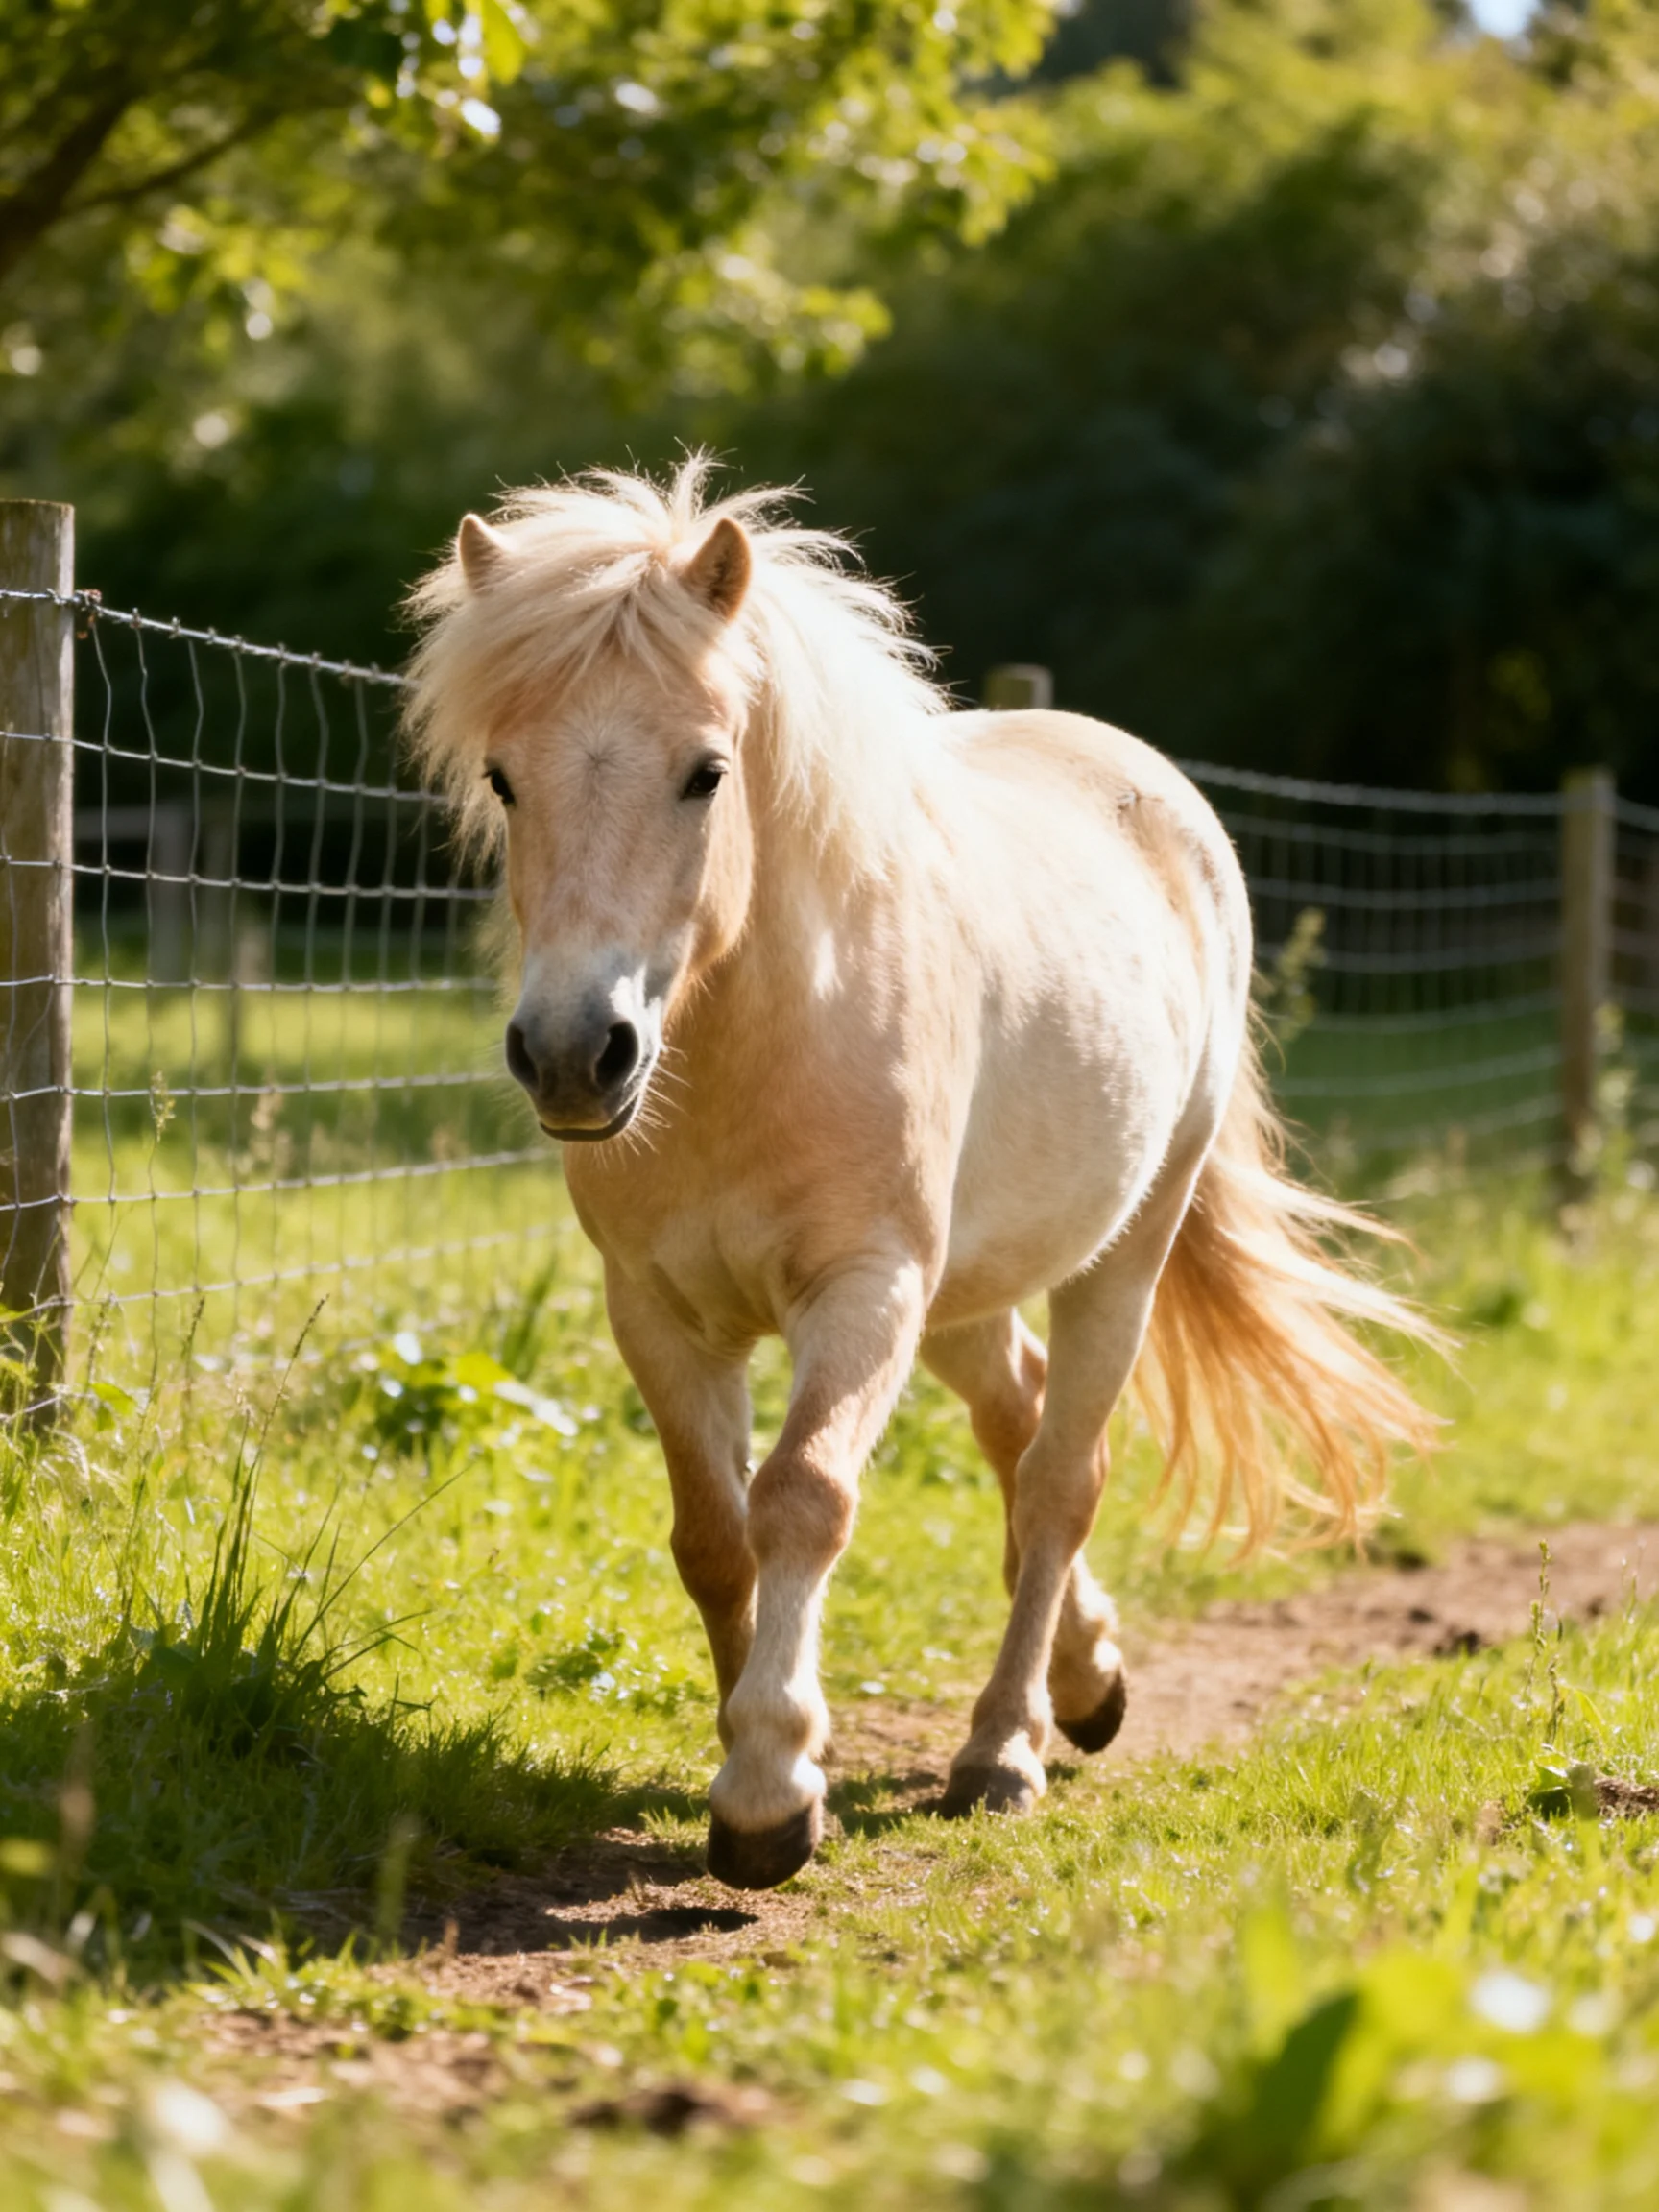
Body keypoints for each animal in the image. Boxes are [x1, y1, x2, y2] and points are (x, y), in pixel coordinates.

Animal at [405, 459, 1434, 1892]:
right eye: (505, 778)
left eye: (705, 772)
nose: (573, 1054)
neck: (754, 1042)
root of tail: (1154, 788)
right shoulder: (659, 1312)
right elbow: (711, 1533)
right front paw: (756, 1752)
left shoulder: (865, 1289)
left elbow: (801, 1500)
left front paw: (771, 1792)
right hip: (965, 1293)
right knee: (1018, 1419)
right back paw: (1087, 1683)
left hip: (1119, 1252)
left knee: (1062, 1474)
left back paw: (1002, 1750)